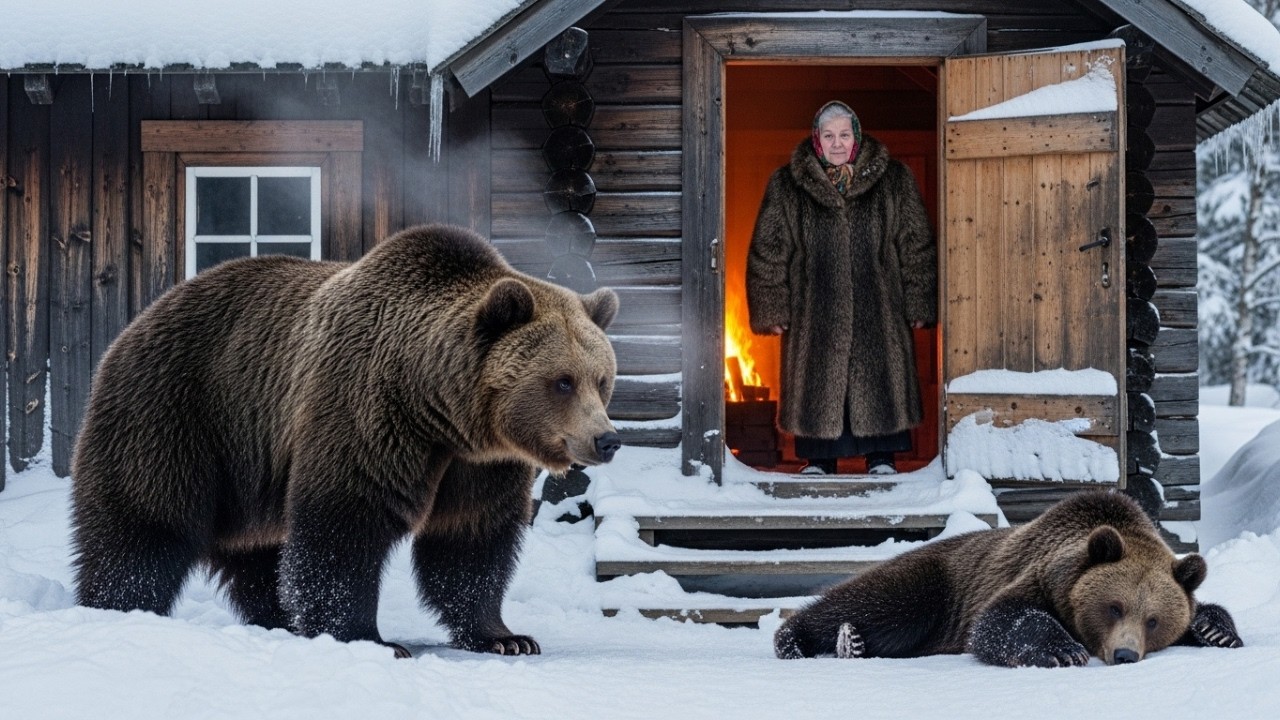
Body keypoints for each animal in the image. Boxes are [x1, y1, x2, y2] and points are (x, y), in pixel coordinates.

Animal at [70, 223, 621, 658]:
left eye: (602, 379)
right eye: (562, 381)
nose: (607, 439)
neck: (442, 411)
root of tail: (134, 324)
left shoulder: (480, 465)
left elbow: (470, 541)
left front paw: (507, 636)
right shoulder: (367, 413)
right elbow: (345, 524)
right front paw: (371, 638)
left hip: (249, 469)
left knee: (258, 553)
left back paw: (280, 620)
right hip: (180, 414)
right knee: (144, 527)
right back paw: (119, 607)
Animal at [774, 491, 1243, 667]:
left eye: (1153, 620)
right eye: (1114, 606)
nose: (1125, 654)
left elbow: (1206, 609)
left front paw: (1217, 632)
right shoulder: (1034, 577)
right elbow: (1001, 620)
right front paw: (1062, 651)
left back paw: (851, 645)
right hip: (935, 582)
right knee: (876, 602)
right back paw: (811, 639)